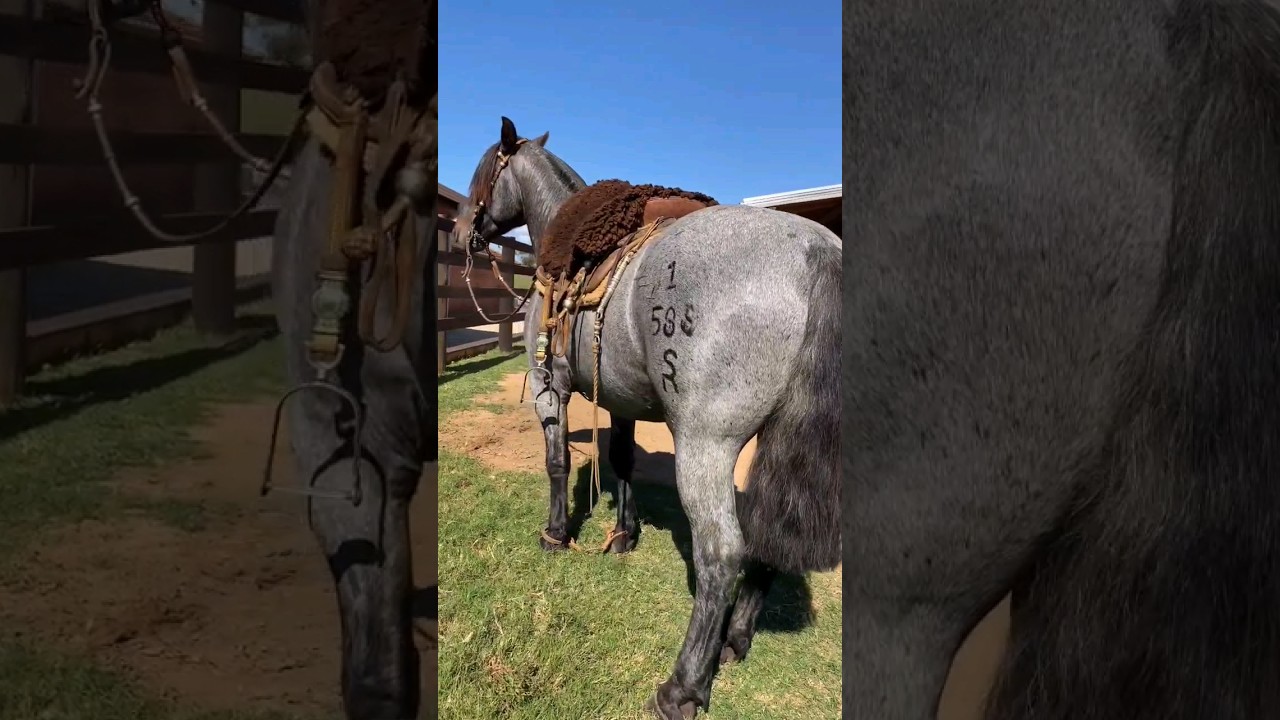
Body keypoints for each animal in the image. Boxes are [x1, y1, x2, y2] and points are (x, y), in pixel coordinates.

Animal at [451, 117, 841, 718]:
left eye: (483, 171)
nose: (460, 229)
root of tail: (815, 250)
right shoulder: (621, 398)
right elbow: (622, 460)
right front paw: (623, 534)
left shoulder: (550, 386)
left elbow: (558, 462)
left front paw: (556, 534)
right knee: (769, 536)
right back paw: (735, 640)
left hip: (706, 443)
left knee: (721, 552)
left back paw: (682, 688)